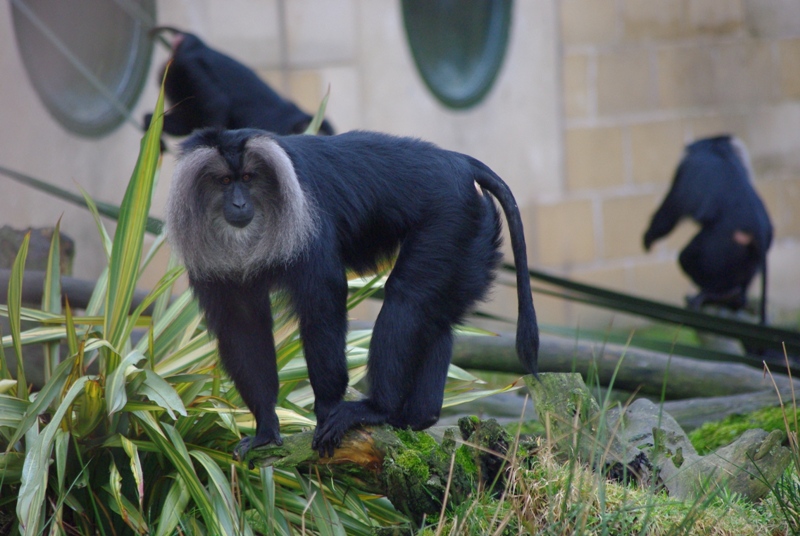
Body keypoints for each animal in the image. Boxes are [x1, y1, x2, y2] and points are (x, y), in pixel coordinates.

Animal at [166, 128, 539, 460]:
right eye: (224, 182)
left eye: (247, 177)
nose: (239, 202)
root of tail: (458, 162)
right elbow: (241, 324)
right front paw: (266, 430)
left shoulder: (309, 228)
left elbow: (323, 301)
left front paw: (327, 410)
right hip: (472, 238)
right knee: (438, 318)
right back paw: (420, 417)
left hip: (450, 221)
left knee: (406, 298)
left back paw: (378, 409)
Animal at [643, 135, 773, 324]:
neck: (716, 149)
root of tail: (756, 228)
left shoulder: (687, 167)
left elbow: (670, 212)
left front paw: (649, 237)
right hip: (748, 250)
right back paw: (734, 298)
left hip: (722, 243)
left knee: (686, 258)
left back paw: (717, 293)